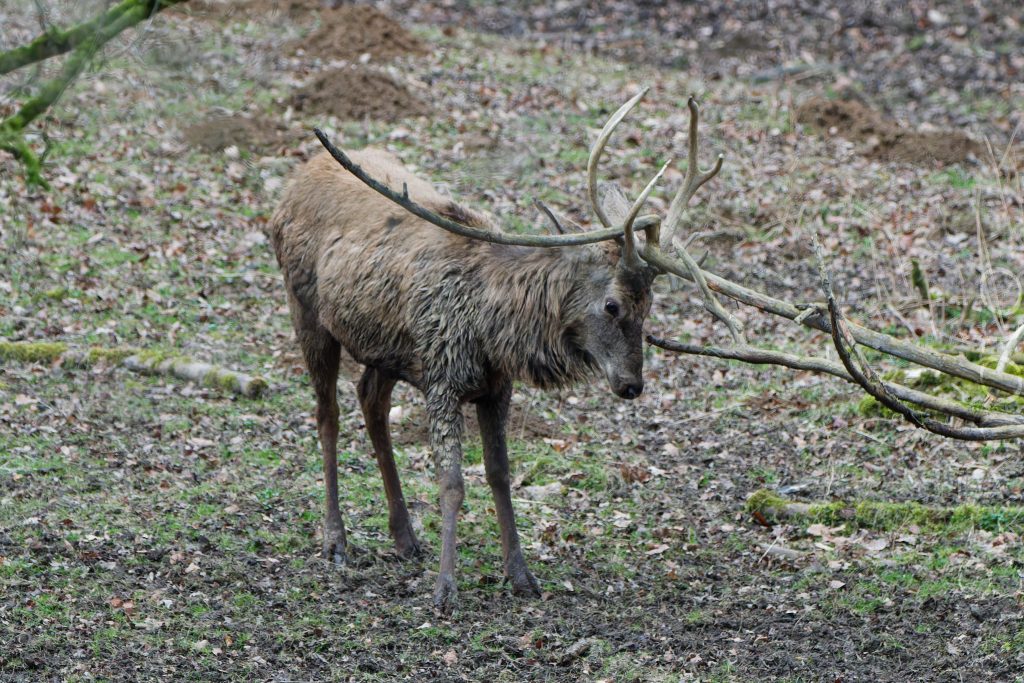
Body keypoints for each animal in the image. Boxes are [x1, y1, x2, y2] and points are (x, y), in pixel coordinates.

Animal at [269, 89, 722, 613]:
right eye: (612, 305)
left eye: (649, 308)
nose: (632, 384)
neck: (491, 330)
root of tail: (295, 179)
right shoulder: (442, 375)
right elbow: (452, 482)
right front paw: (446, 589)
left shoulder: (494, 385)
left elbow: (500, 474)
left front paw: (521, 576)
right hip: (305, 310)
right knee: (328, 415)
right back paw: (336, 540)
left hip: (390, 349)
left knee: (370, 399)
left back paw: (405, 536)